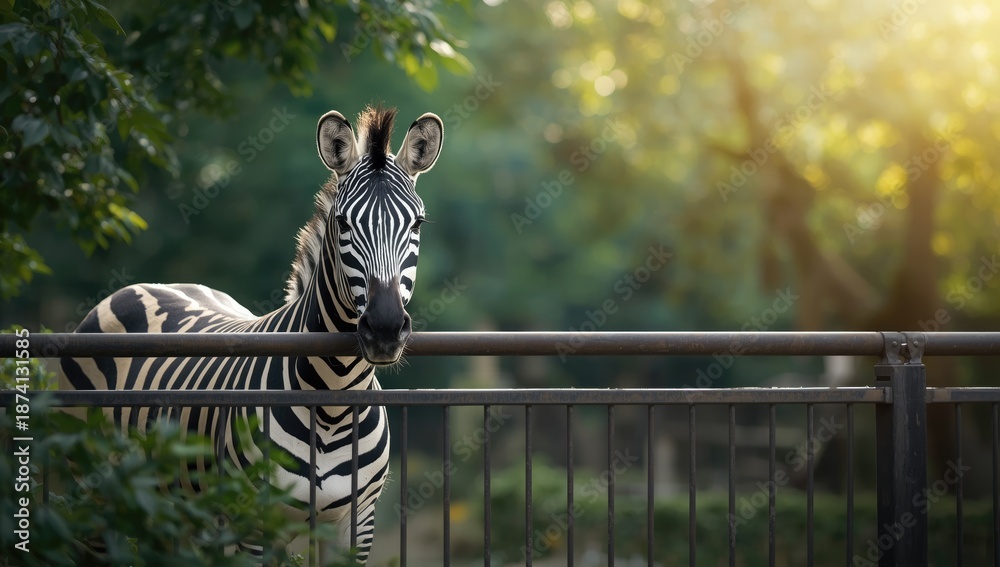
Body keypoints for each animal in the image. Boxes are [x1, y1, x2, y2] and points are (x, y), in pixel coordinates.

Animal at [59, 105, 444, 564]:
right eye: (342, 222)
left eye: (418, 223)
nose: (385, 328)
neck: (334, 398)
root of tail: (139, 286)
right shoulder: (255, 524)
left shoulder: (356, 522)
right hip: (92, 490)